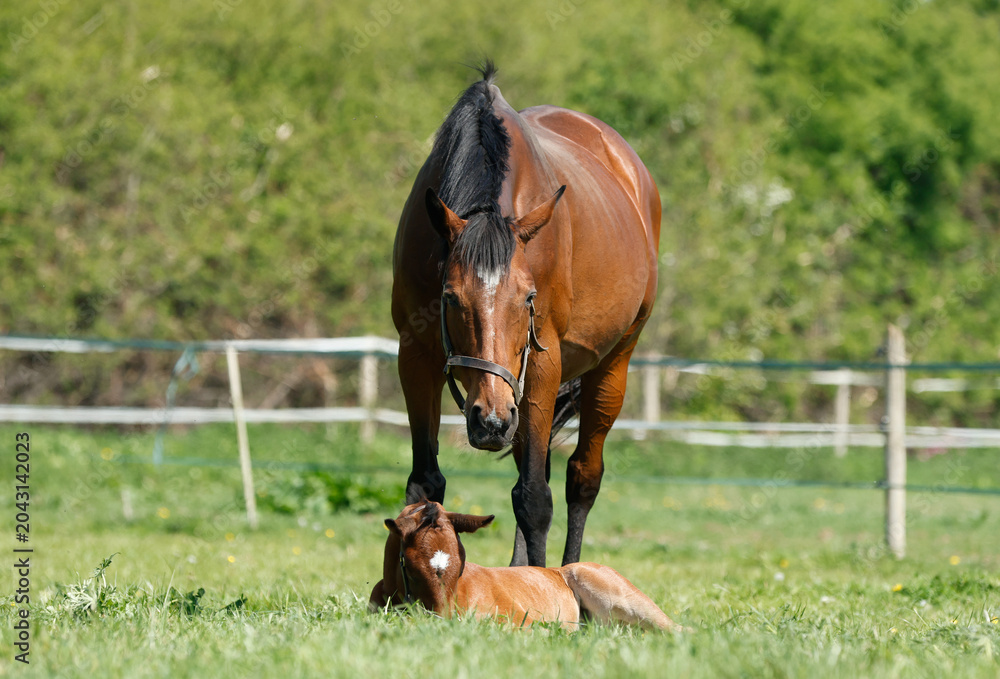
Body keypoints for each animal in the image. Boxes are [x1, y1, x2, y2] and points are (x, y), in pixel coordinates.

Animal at [391, 61, 660, 567]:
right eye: (449, 298)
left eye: (529, 298)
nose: (489, 421)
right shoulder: (415, 356)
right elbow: (425, 485)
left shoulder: (542, 363)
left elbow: (535, 496)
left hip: (610, 365)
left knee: (581, 477)